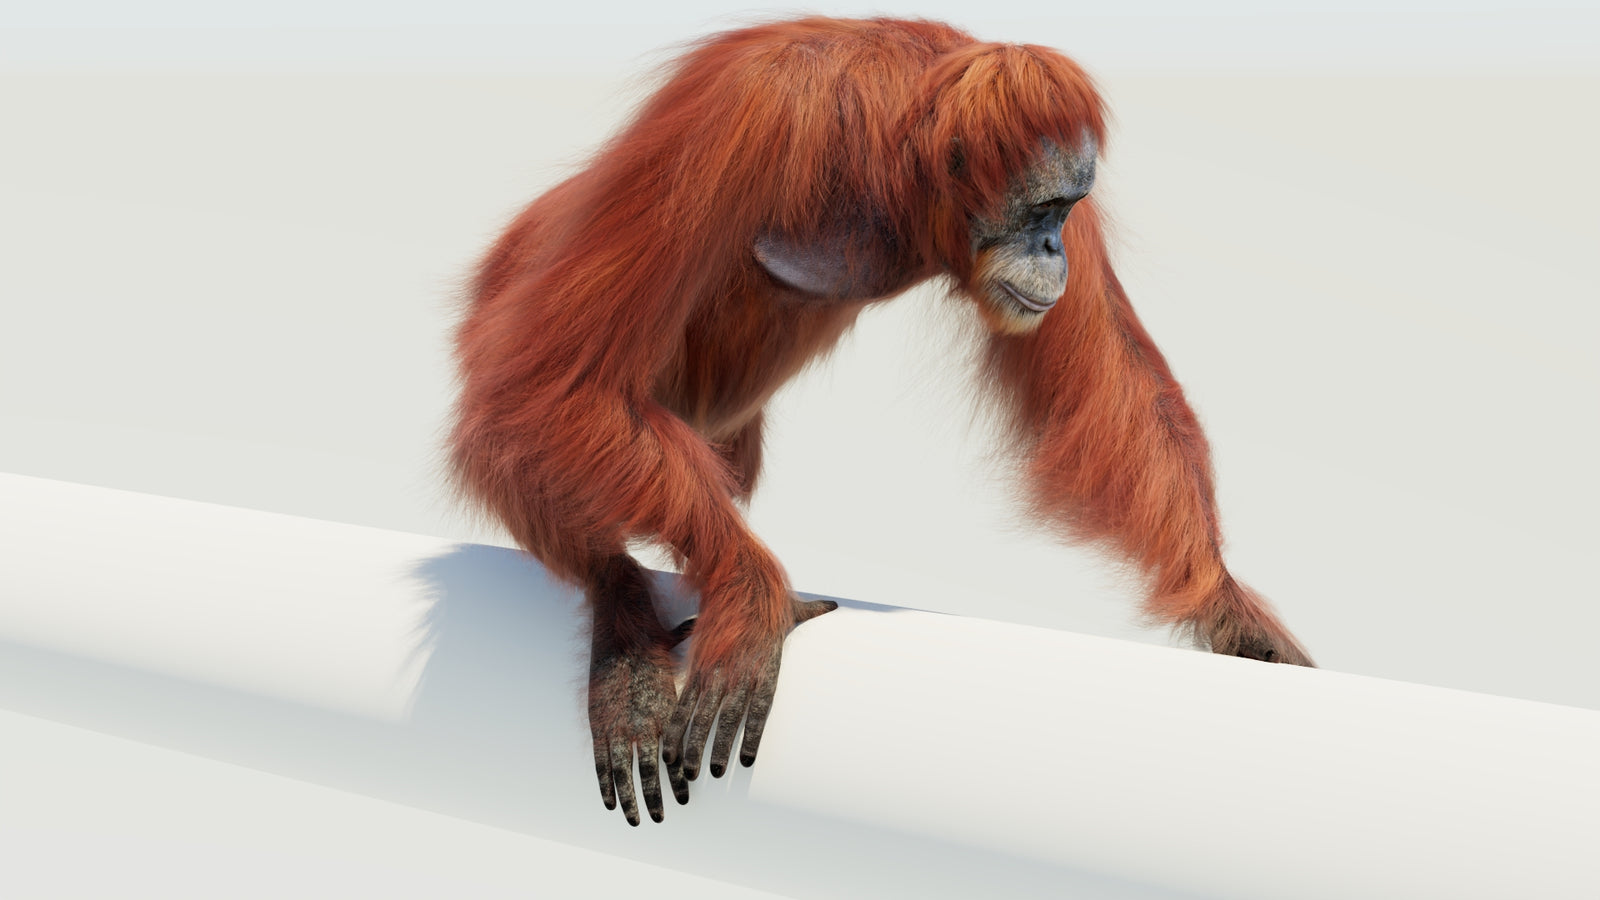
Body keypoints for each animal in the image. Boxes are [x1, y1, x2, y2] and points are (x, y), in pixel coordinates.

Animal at [449, 16, 1314, 826]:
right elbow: (558, 382)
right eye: (1041, 208)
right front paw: (752, 594)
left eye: (1066, 211)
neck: (891, 159)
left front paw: (1232, 613)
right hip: (509, 291)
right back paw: (623, 625)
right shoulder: (748, 113)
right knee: (517, 410)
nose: (1052, 248)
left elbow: (1111, 387)